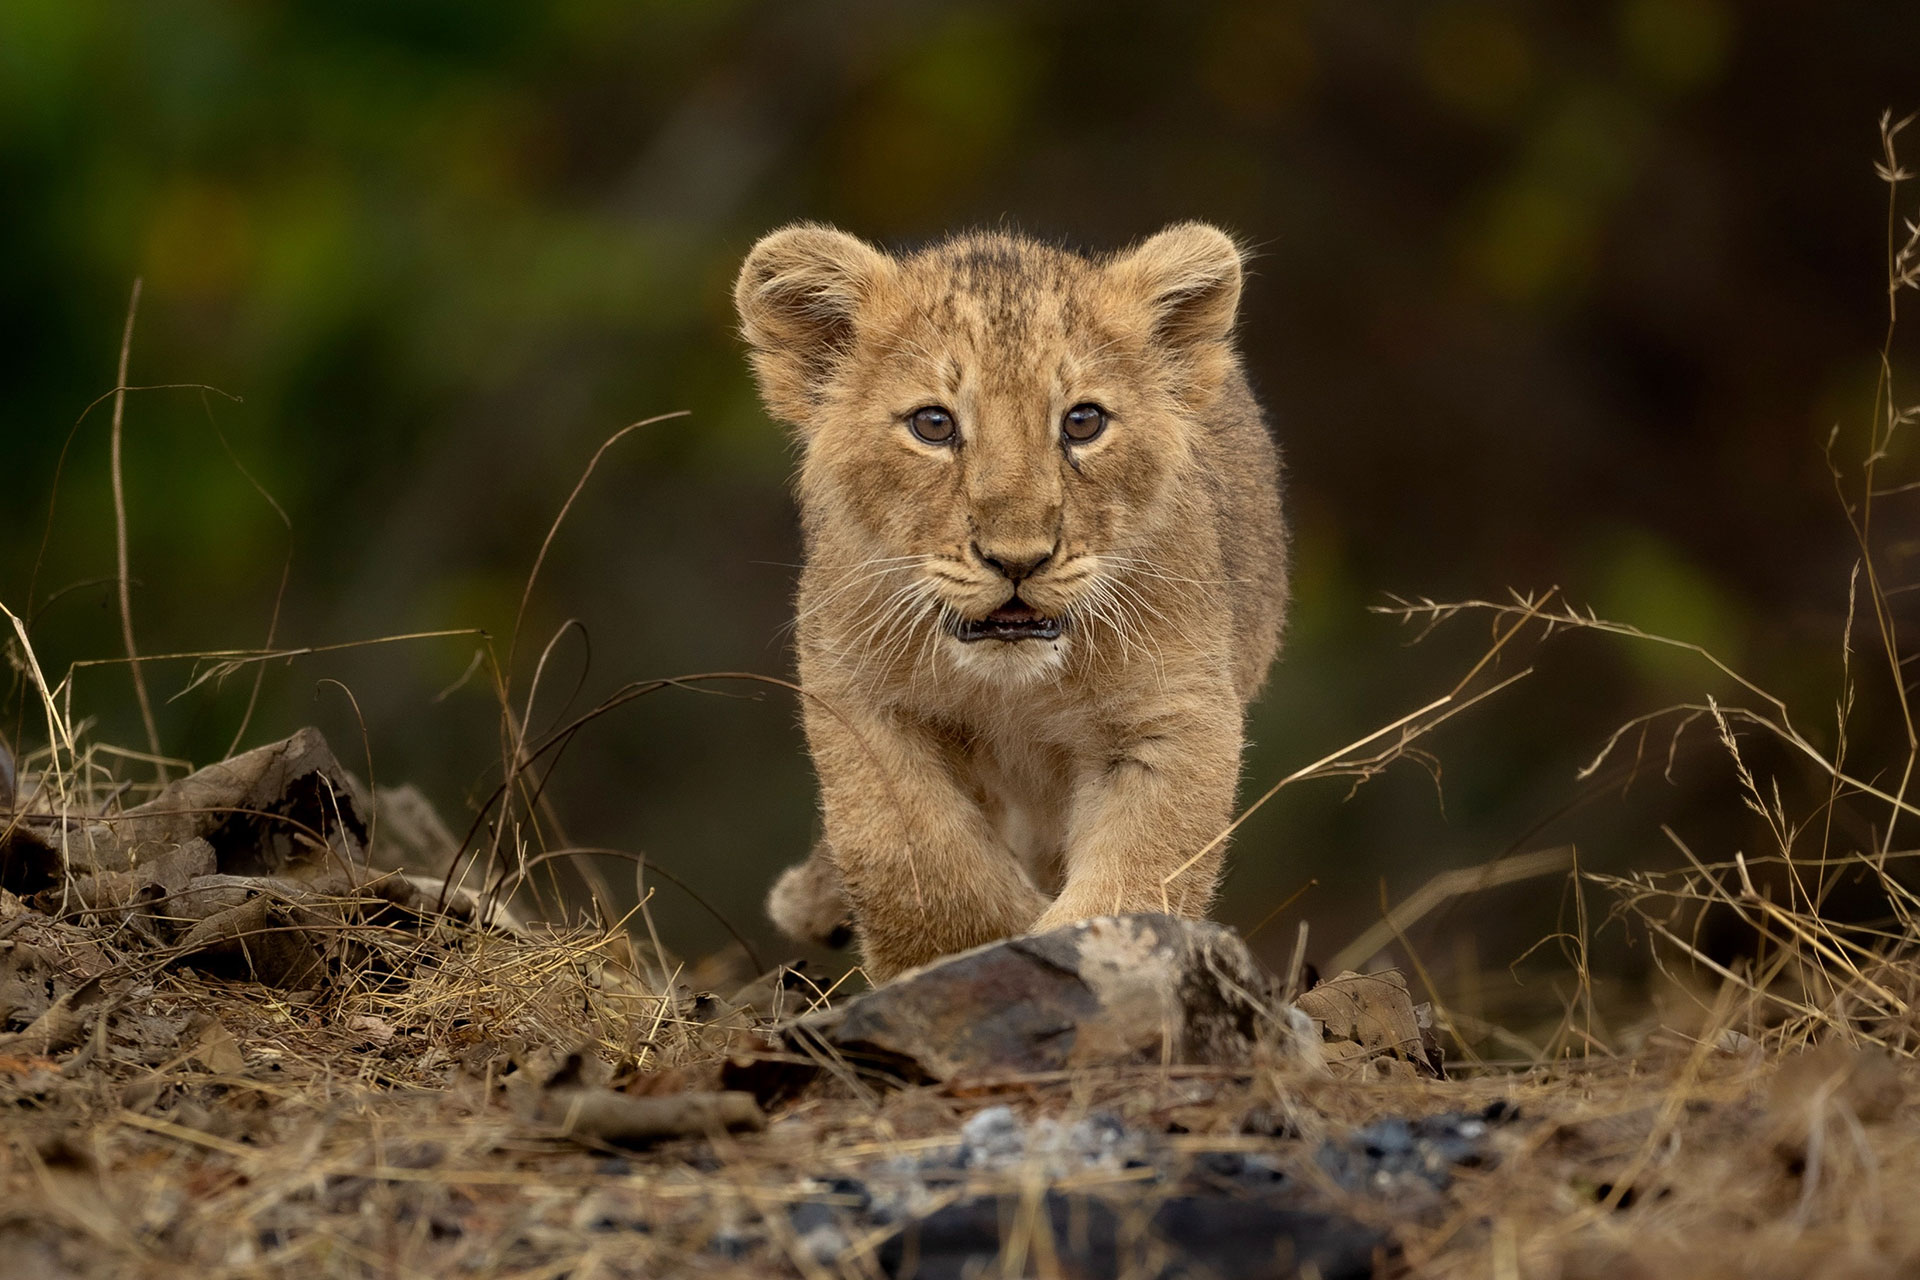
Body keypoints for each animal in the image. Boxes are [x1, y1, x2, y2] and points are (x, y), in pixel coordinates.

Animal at [734, 221, 1288, 981]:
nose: (1018, 558)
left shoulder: (1174, 712)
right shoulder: (856, 696)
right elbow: (915, 858)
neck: (1013, 691)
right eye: (933, 424)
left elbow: (1139, 877)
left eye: (1083, 421)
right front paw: (974, 948)